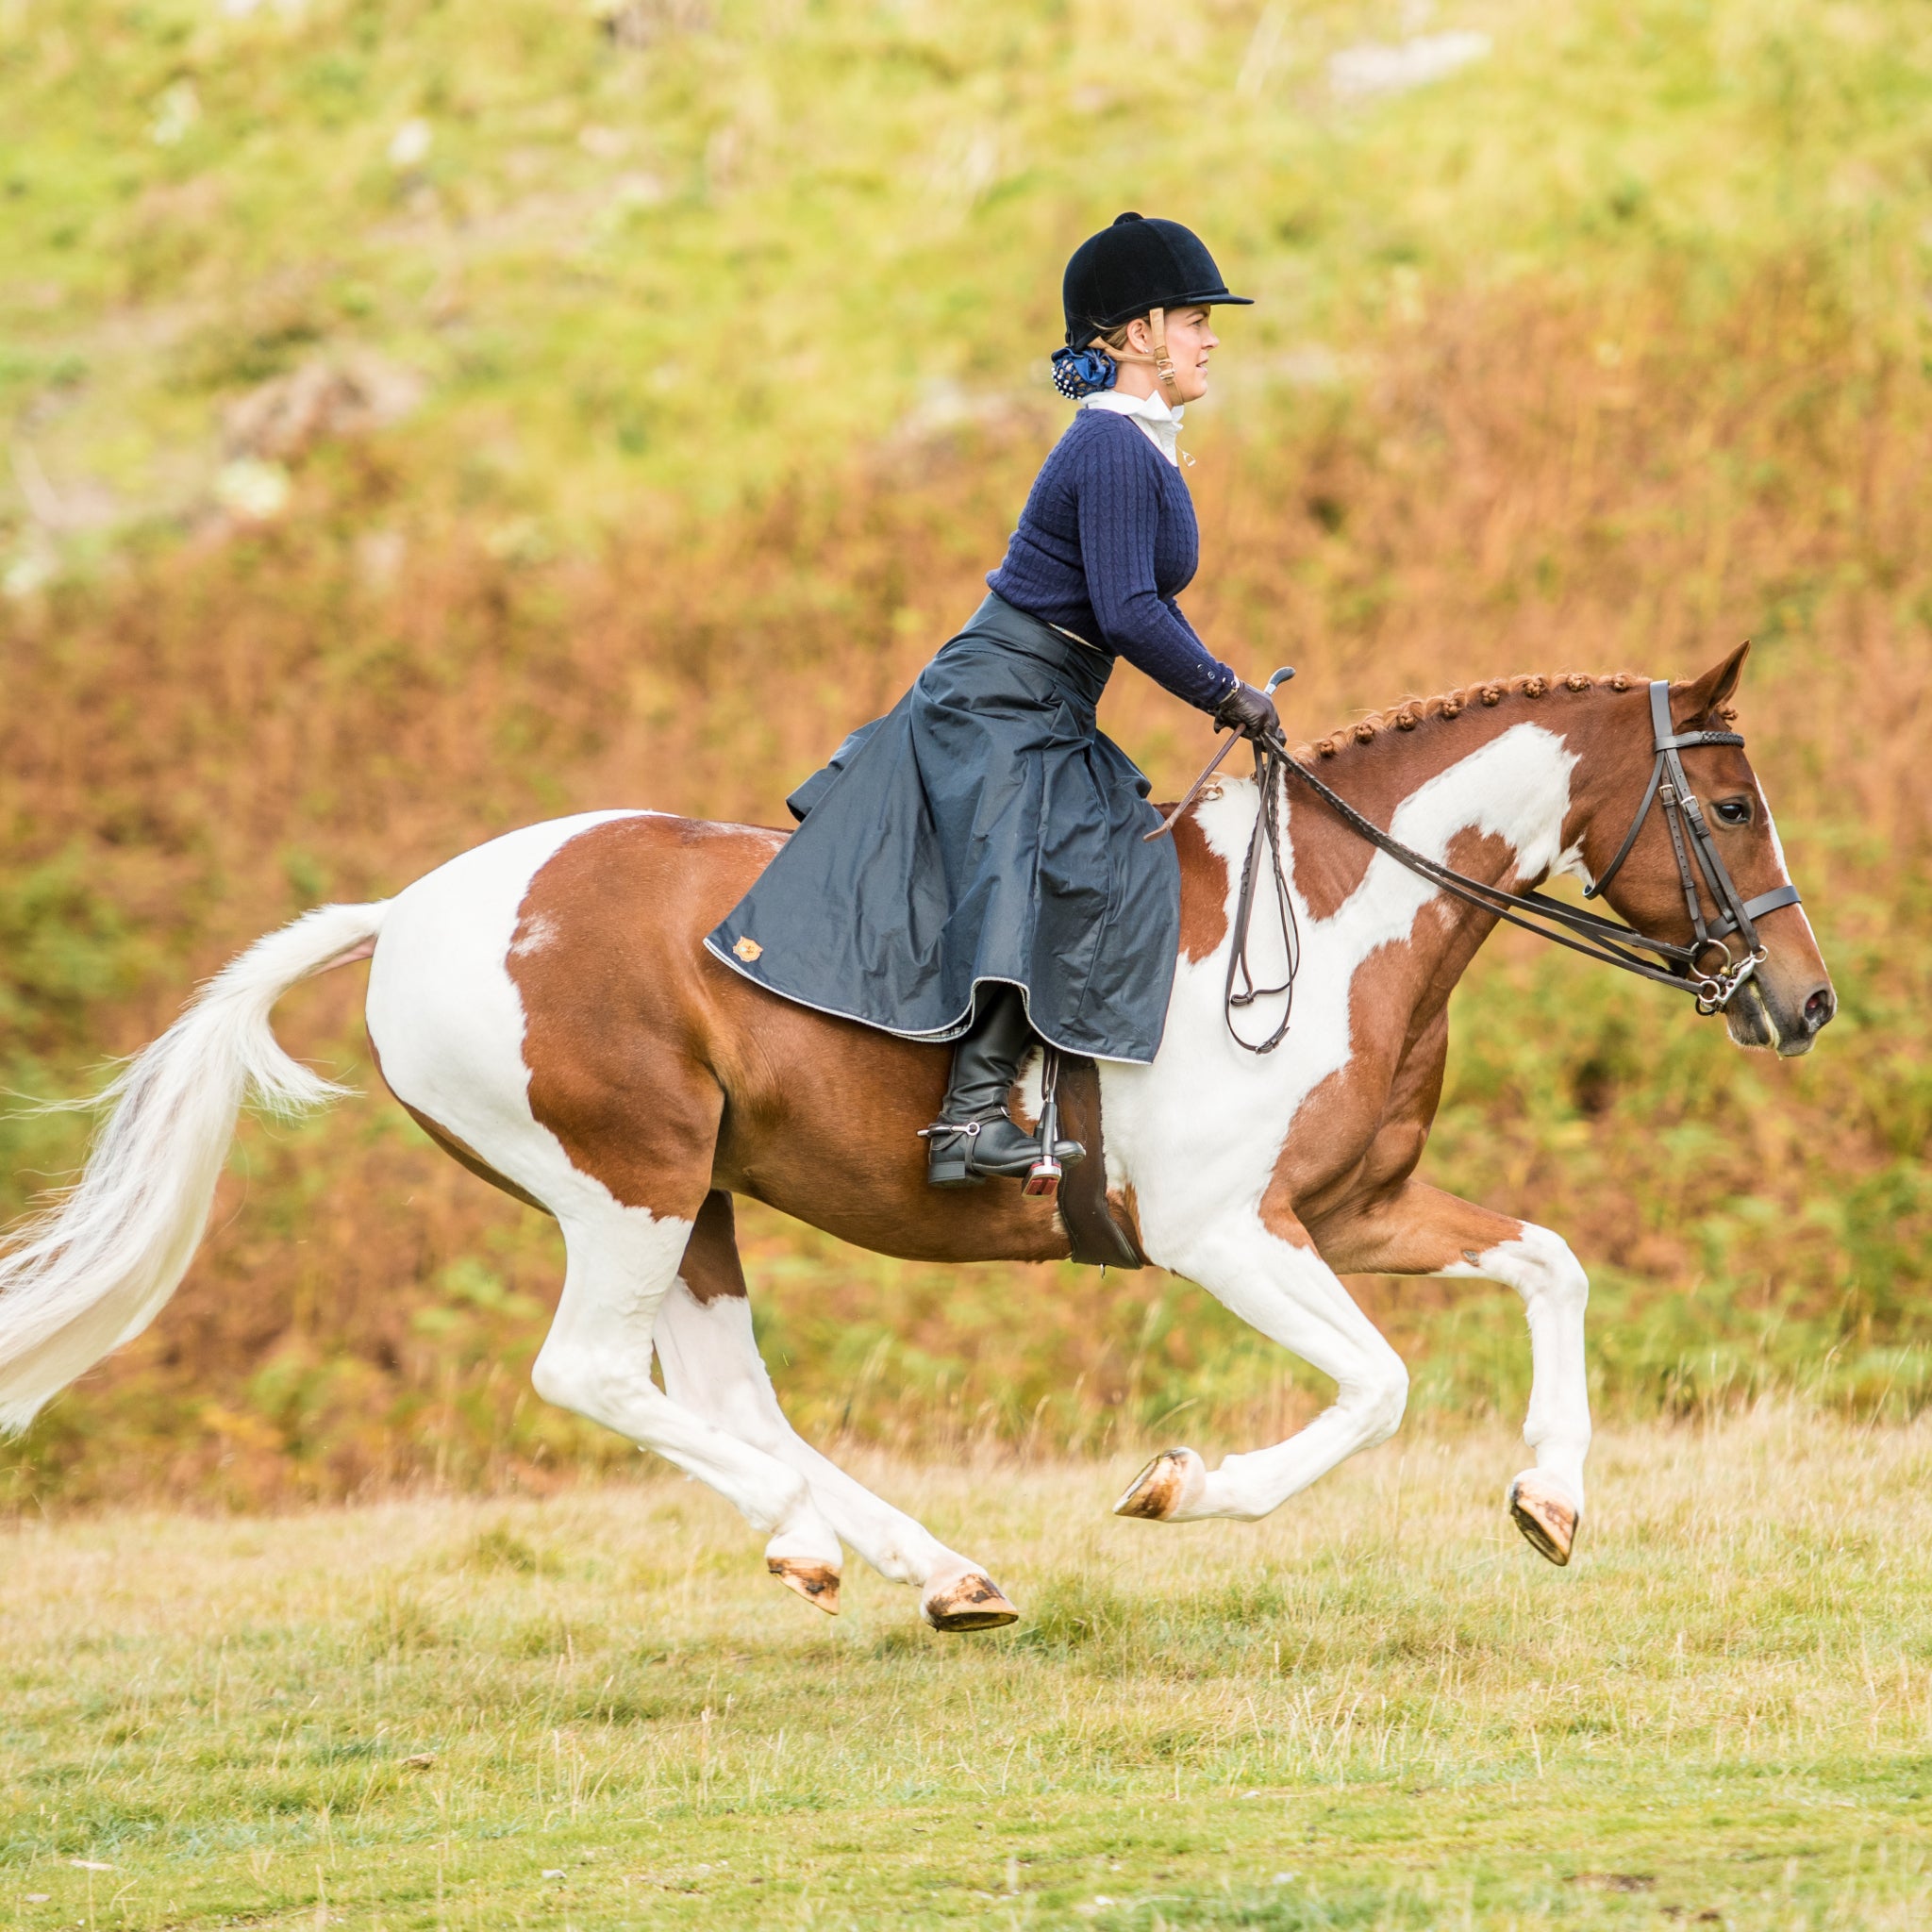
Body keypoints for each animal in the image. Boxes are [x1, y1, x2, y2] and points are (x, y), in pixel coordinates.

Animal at [0, 644, 1832, 1631]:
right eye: (1735, 806)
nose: (1802, 1004)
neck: (1333, 910)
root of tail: (413, 913)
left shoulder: (1360, 1209)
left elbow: (1551, 1265)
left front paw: (1550, 1500)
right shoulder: (1229, 1235)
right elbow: (1375, 1389)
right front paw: (1182, 1488)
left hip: (698, 1197)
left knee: (724, 1391)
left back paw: (930, 1569)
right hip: (624, 1182)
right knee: (593, 1377)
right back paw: (822, 1540)